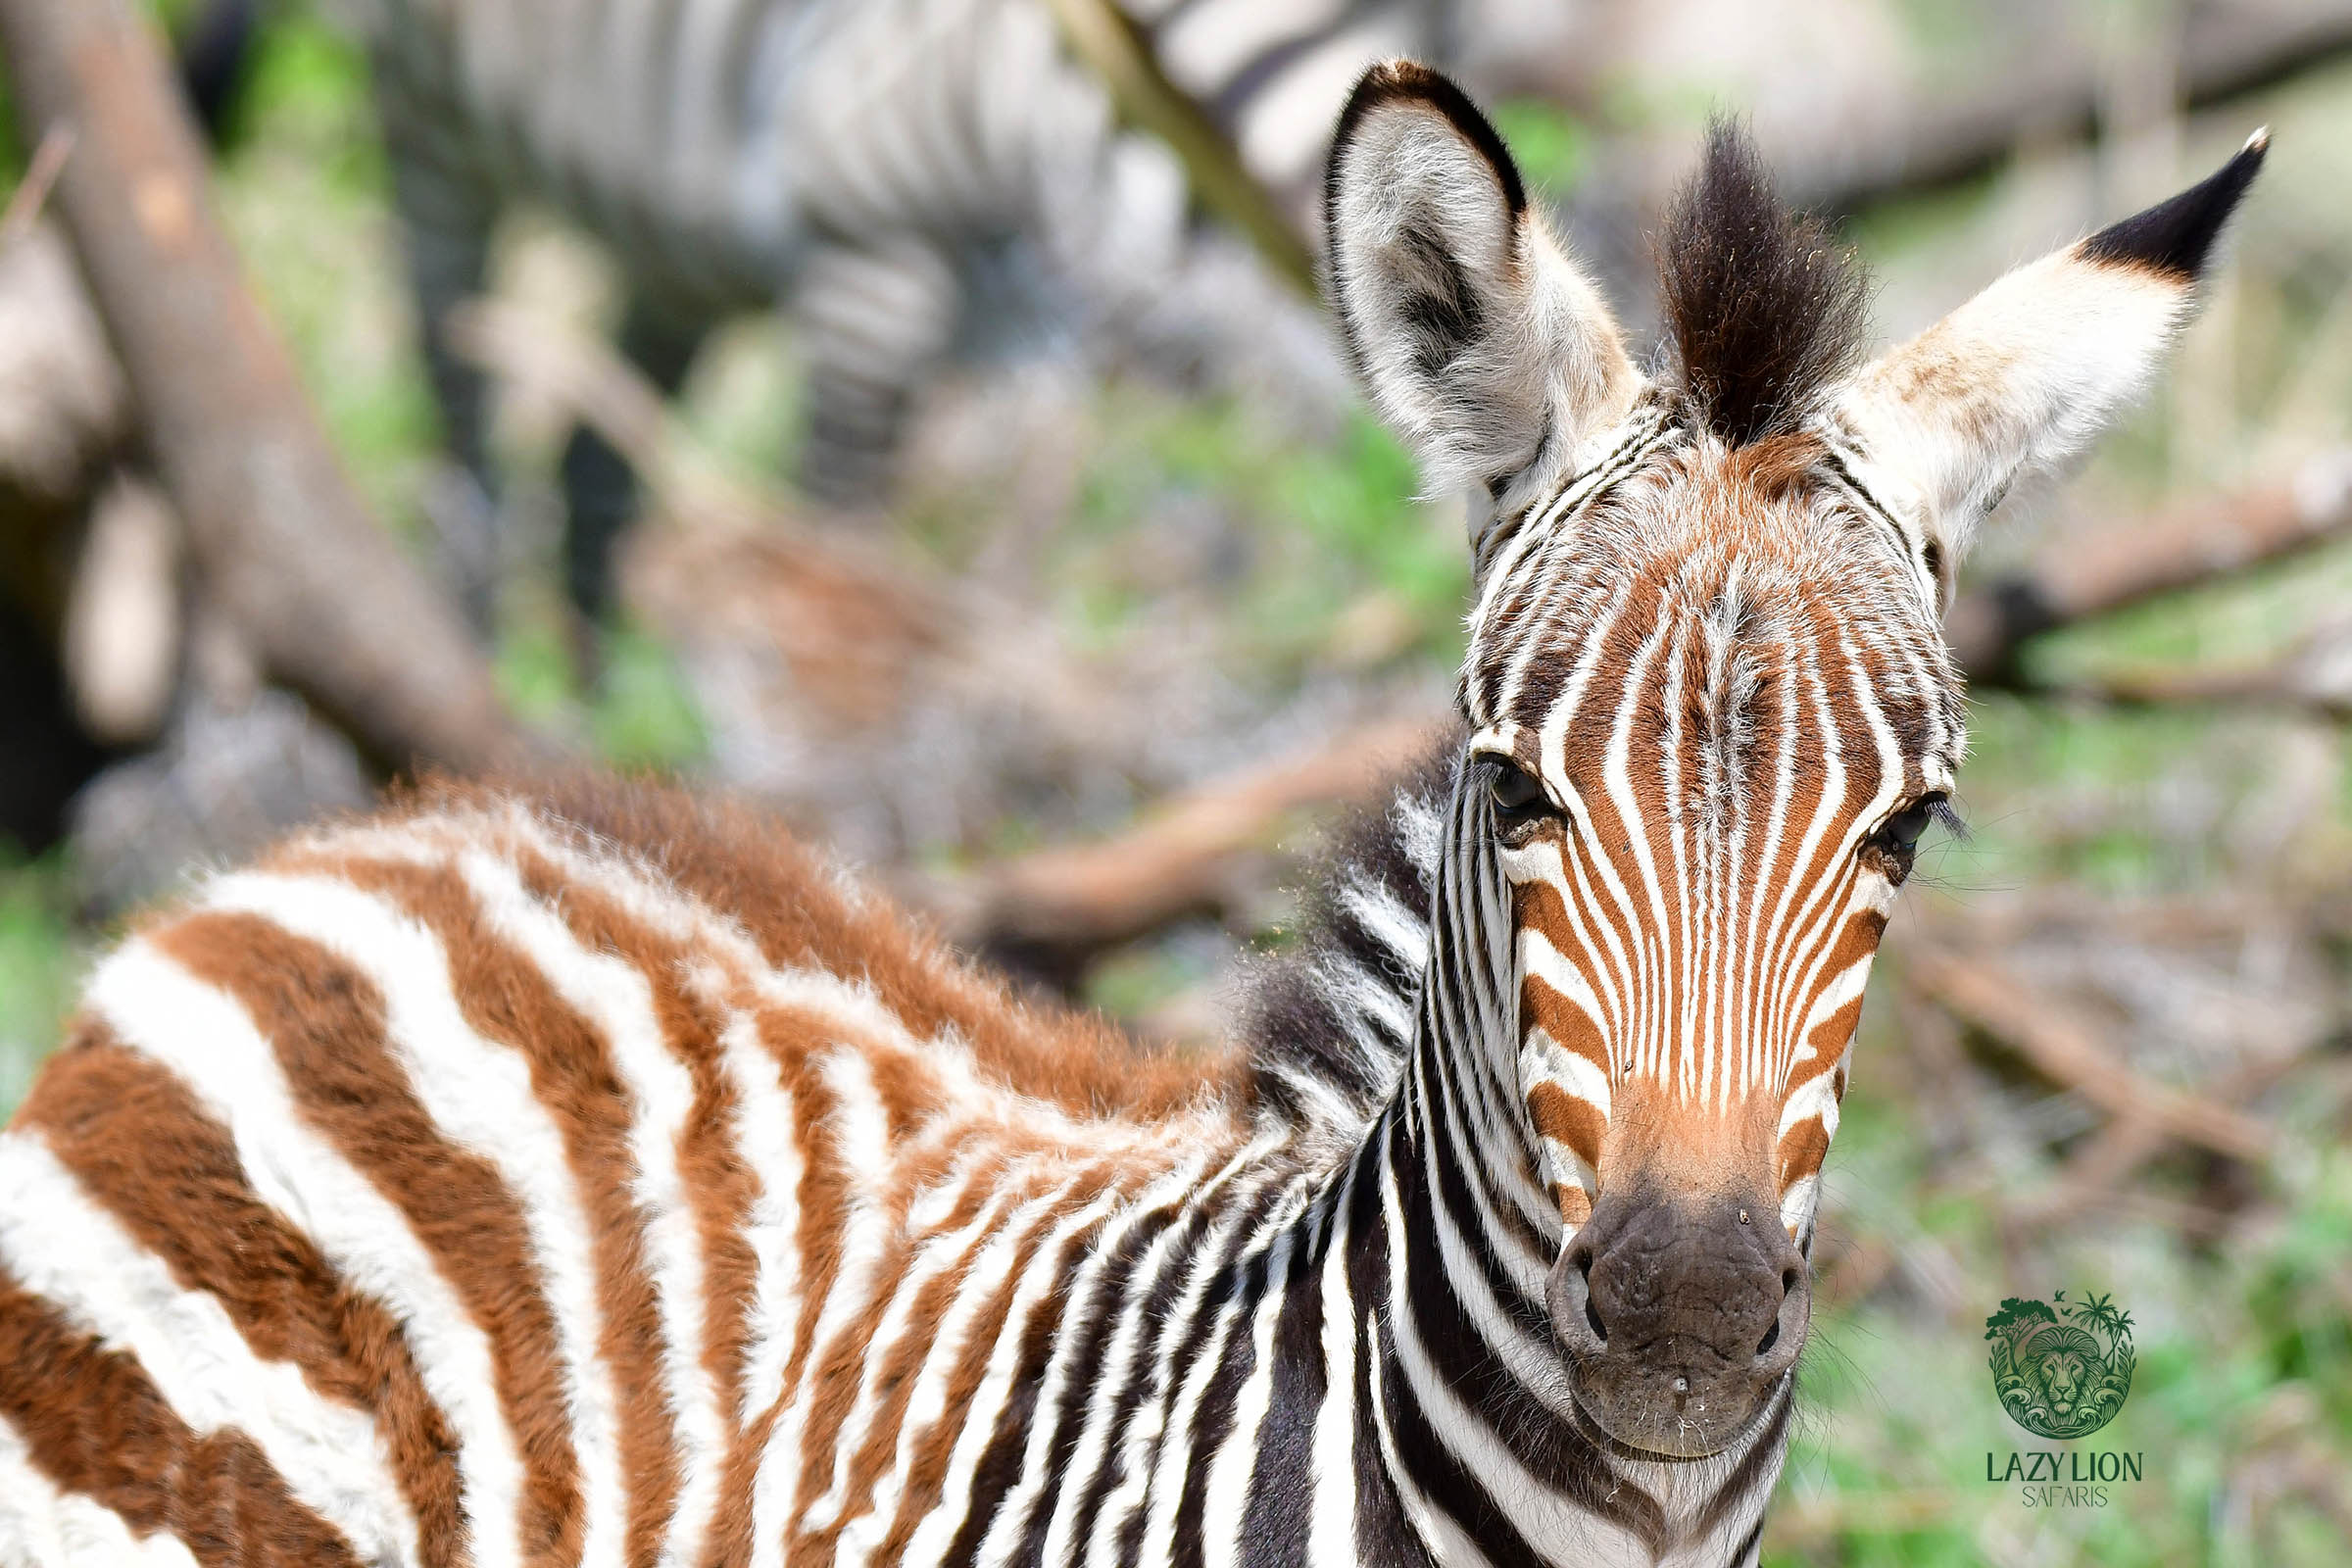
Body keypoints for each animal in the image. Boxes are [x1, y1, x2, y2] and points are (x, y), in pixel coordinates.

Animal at [348, 0, 1444, 634]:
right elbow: (844, 545)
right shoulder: (870, 262)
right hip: (427, 128)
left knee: (589, 460)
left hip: (677, 251)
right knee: (457, 401)